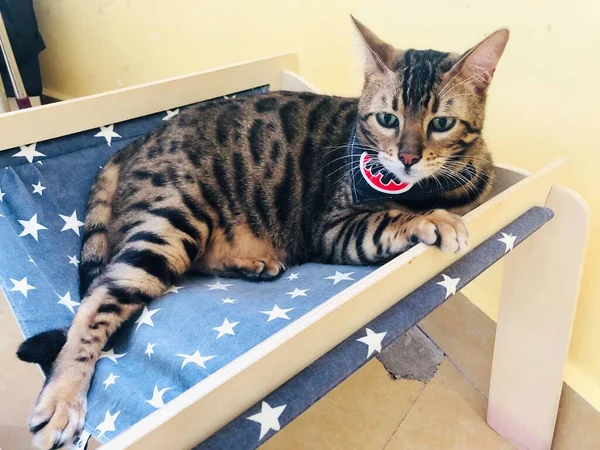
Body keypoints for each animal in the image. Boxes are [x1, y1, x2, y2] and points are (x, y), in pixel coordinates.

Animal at [16, 16, 508, 446]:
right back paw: (62, 400)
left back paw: (254, 263)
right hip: (171, 222)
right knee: (96, 301)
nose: (406, 158)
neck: (427, 188)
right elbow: (391, 219)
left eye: (441, 123)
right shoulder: (334, 228)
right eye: (387, 119)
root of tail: (137, 141)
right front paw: (434, 220)